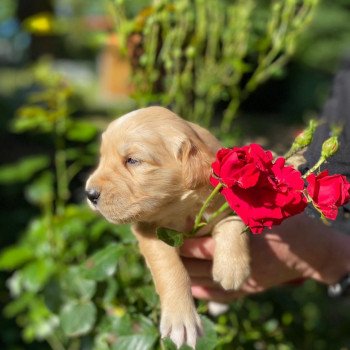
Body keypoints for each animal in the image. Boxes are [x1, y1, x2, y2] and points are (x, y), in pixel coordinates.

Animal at [86, 106, 250, 348]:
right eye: (102, 157)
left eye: (132, 160)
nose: (89, 194)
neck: (181, 207)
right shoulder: (150, 231)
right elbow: (169, 267)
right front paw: (180, 320)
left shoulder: (224, 202)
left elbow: (232, 222)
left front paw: (232, 269)